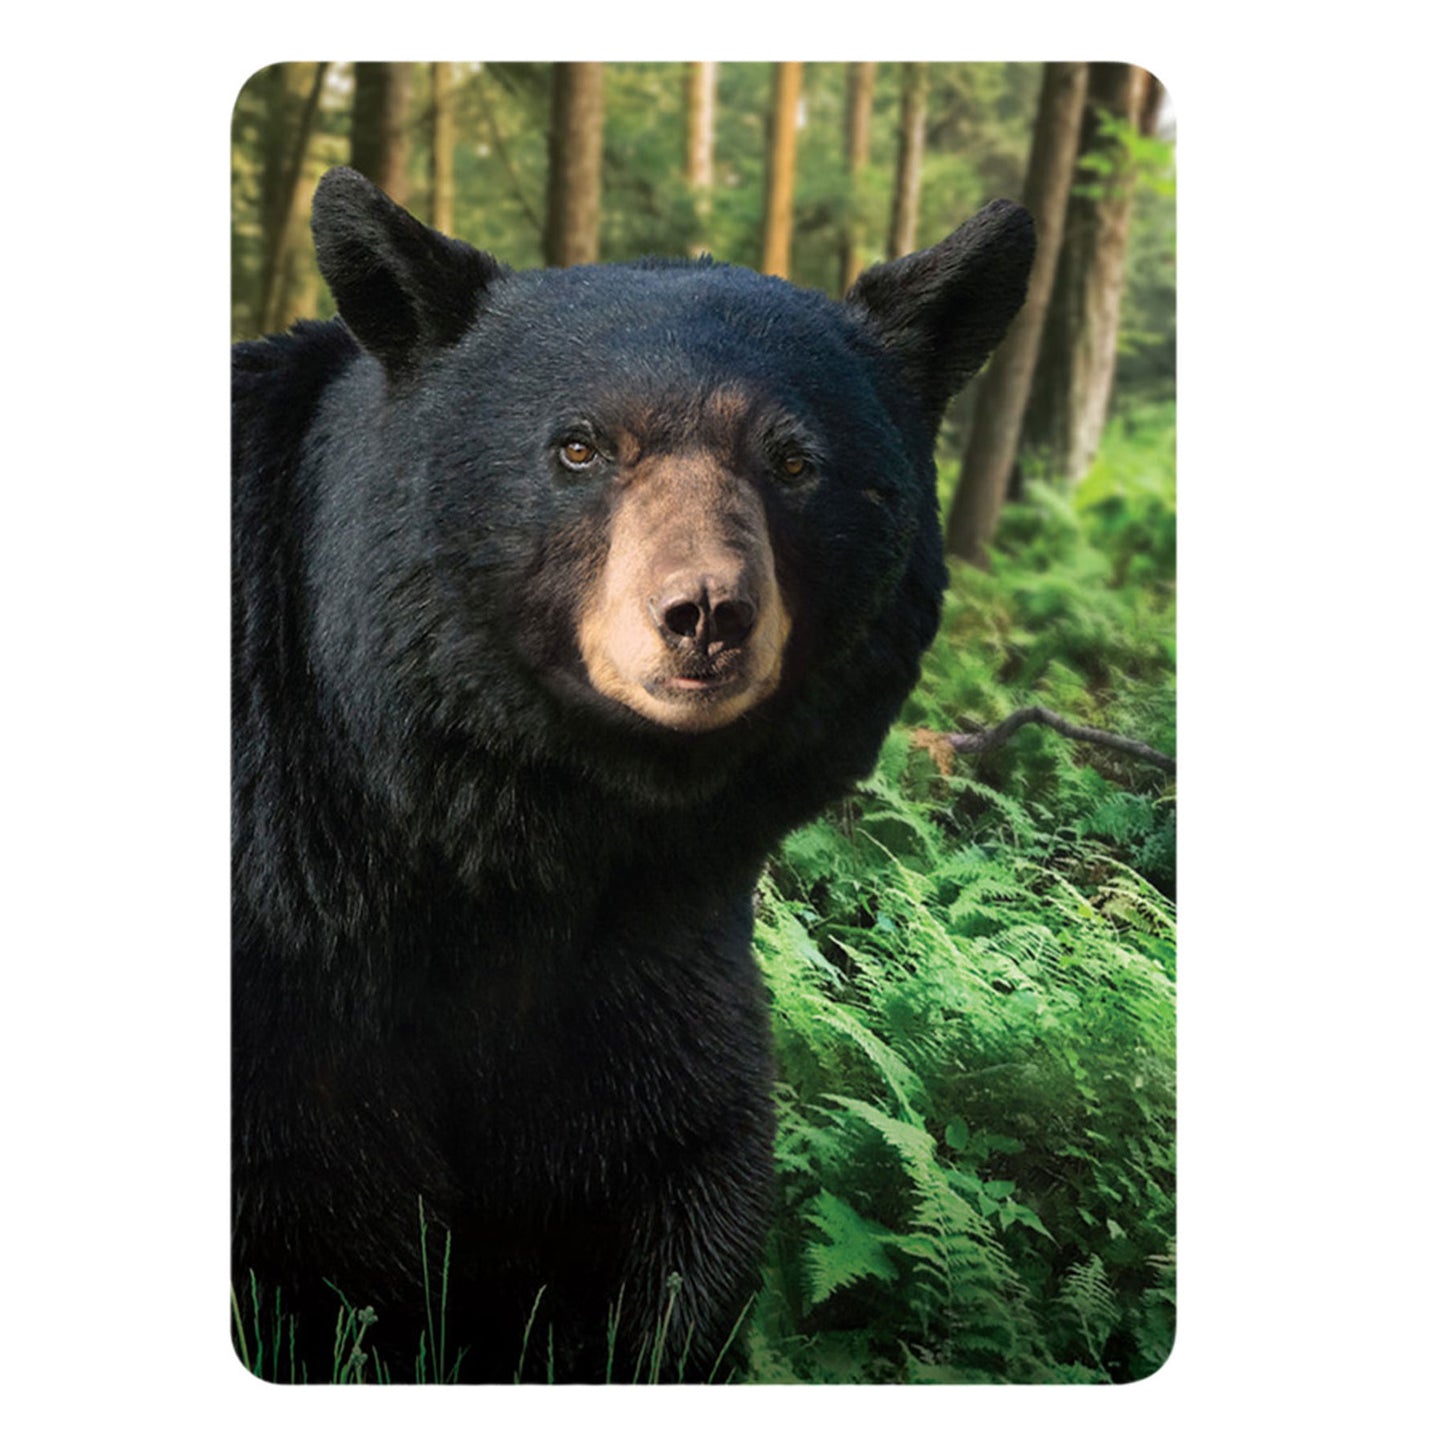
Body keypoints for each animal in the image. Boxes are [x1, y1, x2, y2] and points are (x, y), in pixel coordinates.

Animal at [232, 165, 1034, 1383]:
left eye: (794, 460)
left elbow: (668, 1173)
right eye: (578, 447)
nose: (704, 613)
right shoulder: (292, 968)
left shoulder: (648, 947)